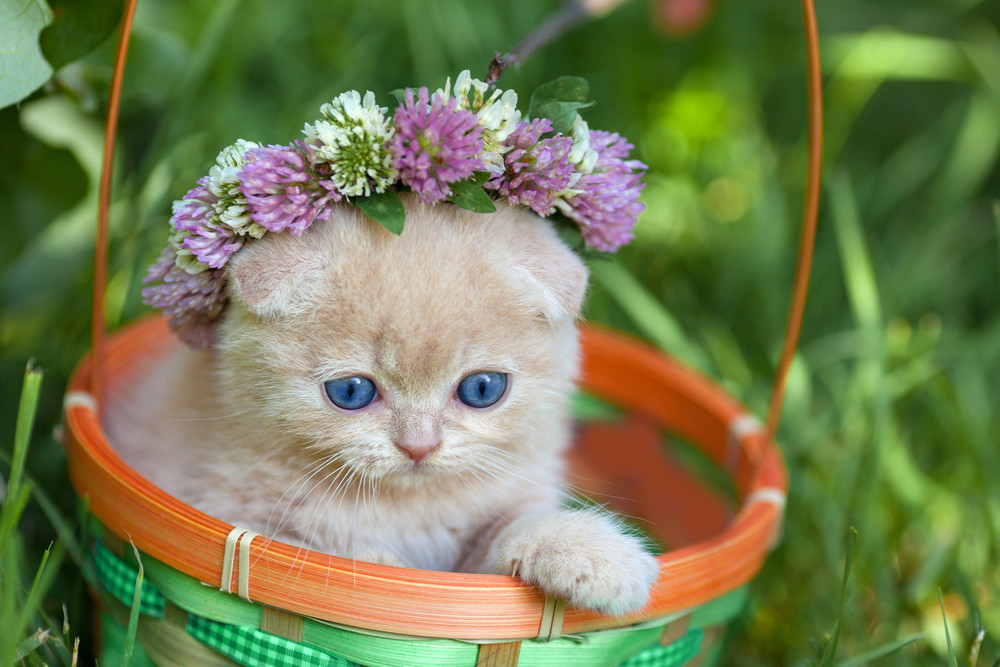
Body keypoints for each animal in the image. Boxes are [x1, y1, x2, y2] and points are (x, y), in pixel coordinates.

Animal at [105, 196, 660, 620]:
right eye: (351, 392)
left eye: (482, 388)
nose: (419, 446)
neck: (405, 508)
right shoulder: (221, 506)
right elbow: (324, 554)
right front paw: (384, 570)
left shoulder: (478, 554)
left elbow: (507, 538)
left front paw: (593, 554)